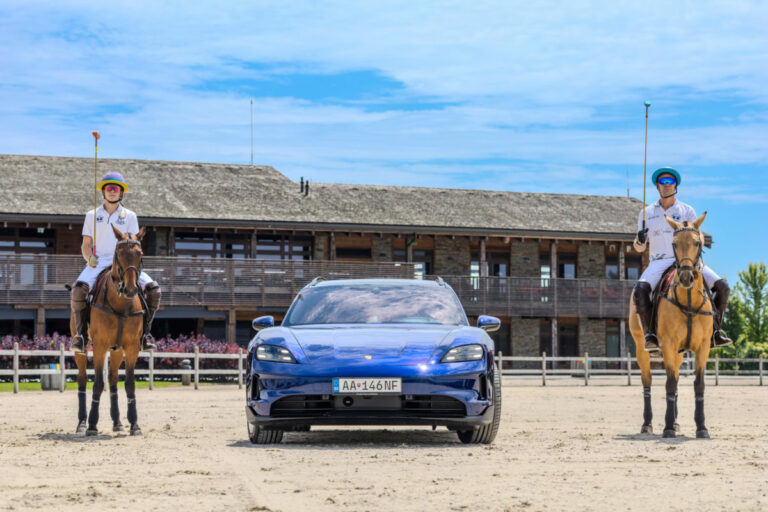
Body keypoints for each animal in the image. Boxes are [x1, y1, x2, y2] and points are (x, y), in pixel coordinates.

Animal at [74, 225, 148, 436]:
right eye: (119, 253)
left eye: (139, 253)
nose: (131, 289)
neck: (121, 303)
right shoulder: (100, 346)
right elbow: (97, 383)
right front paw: (92, 424)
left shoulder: (132, 347)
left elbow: (129, 384)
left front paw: (134, 424)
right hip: (82, 348)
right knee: (82, 379)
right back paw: (82, 423)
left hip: (117, 350)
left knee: (113, 379)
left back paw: (117, 422)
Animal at [632, 212, 712, 440]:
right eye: (674, 243)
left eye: (697, 242)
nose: (685, 277)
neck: (689, 300)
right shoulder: (667, 344)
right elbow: (669, 383)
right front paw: (667, 427)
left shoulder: (703, 346)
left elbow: (697, 384)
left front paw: (701, 427)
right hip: (641, 347)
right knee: (647, 381)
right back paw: (647, 424)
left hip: (679, 353)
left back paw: (676, 423)